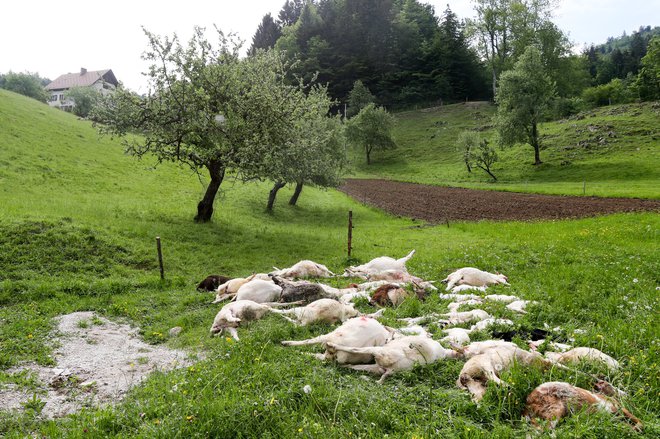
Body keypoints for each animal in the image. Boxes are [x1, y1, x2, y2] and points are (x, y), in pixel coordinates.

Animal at [328, 336, 458, 384]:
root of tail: (392, 369)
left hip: (378, 352)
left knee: (355, 349)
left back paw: (332, 346)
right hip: (377, 366)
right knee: (354, 366)